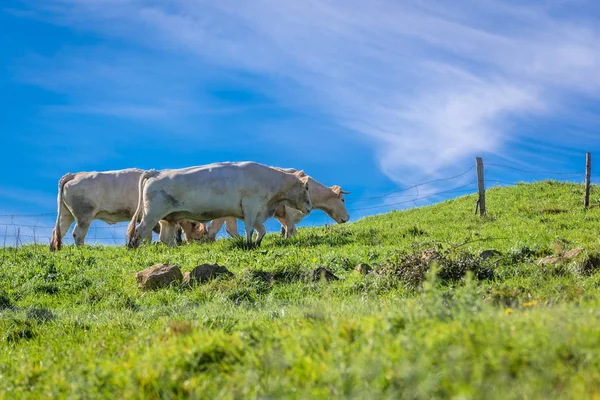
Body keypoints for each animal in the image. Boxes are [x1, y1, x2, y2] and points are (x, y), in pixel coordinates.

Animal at [49, 168, 198, 250]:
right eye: (195, 225)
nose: (198, 241)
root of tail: (74, 175)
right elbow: (146, 235)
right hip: (84, 216)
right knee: (77, 234)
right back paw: (82, 250)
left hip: (66, 214)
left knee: (58, 231)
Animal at [127, 161, 314, 248]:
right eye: (306, 187)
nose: (310, 207)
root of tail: (155, 172)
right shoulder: (251, 206)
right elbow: (249, 229)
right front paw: (248, 244)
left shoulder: (249, 212)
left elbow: (261, 230)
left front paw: (256, 242)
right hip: (151, 215)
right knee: (139, 232)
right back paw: (135, 248)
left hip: (168, 218)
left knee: (165, 238)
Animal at [202, 170, 350, 239]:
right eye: (343, 200)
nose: (347, 218)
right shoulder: (290, 213)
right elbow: (291, 229)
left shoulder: (282, 214)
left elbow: (285, 228)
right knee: (216, 229)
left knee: (225, 229)